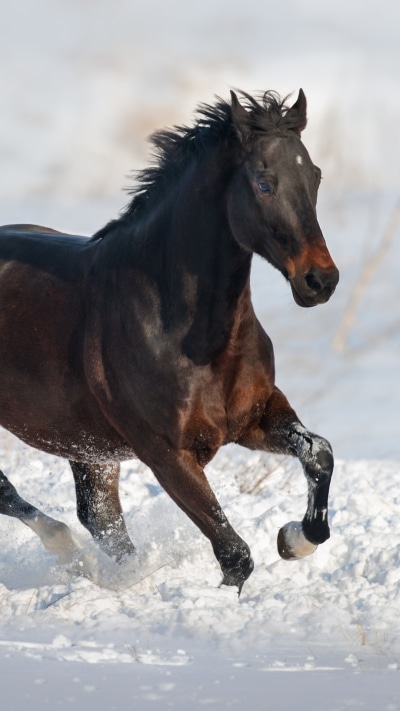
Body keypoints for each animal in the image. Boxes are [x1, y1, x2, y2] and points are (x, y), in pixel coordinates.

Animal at [0, 89, 339, 594]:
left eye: (314, 175)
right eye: (264, 182)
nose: (321, 281)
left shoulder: (256, 417)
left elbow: (319, 453)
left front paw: (293, 540)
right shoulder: (166, 454)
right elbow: (234, 554)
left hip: (88, 448)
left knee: (101, 519)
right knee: (19, 496)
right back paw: (68, 553)